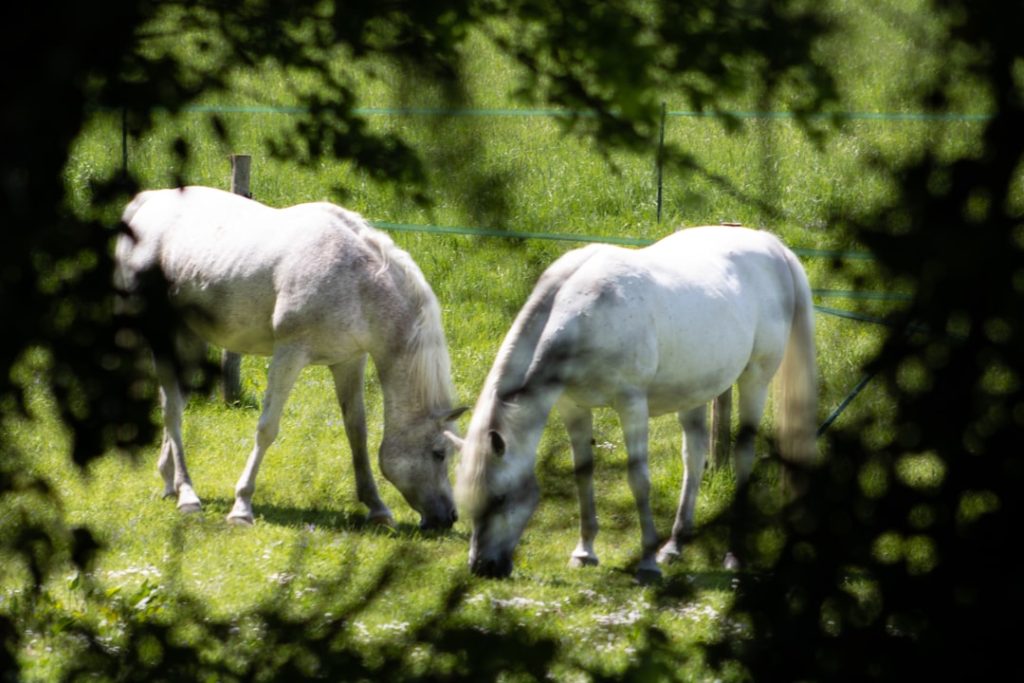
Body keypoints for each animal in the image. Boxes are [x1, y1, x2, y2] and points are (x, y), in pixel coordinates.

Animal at [117, 185, 466, 528]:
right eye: (438, 453)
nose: (448, 518)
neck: (358, 282)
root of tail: (146, 202)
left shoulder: (349, 361)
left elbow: (357, 431)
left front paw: (377, 507)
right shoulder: (290, 354)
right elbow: (267, 428)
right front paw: (242, 506)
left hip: (189, 340)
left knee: (172, 401)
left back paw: (171, 483)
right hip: (160, 336)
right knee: (173, 411)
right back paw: (188, 496)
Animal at [452, 227, 819, 581]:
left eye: (500, 498)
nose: (482, 567)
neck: (586, 313)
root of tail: (771, 245)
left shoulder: (631, 404)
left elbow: (638, 479)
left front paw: (646, 563)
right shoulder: (573, 407)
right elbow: (582, 474)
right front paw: (584, 552)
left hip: (755, 379)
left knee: (743, 456)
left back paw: (734, 554)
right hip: (695, 390)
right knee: (694, 456)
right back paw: (674, 545)